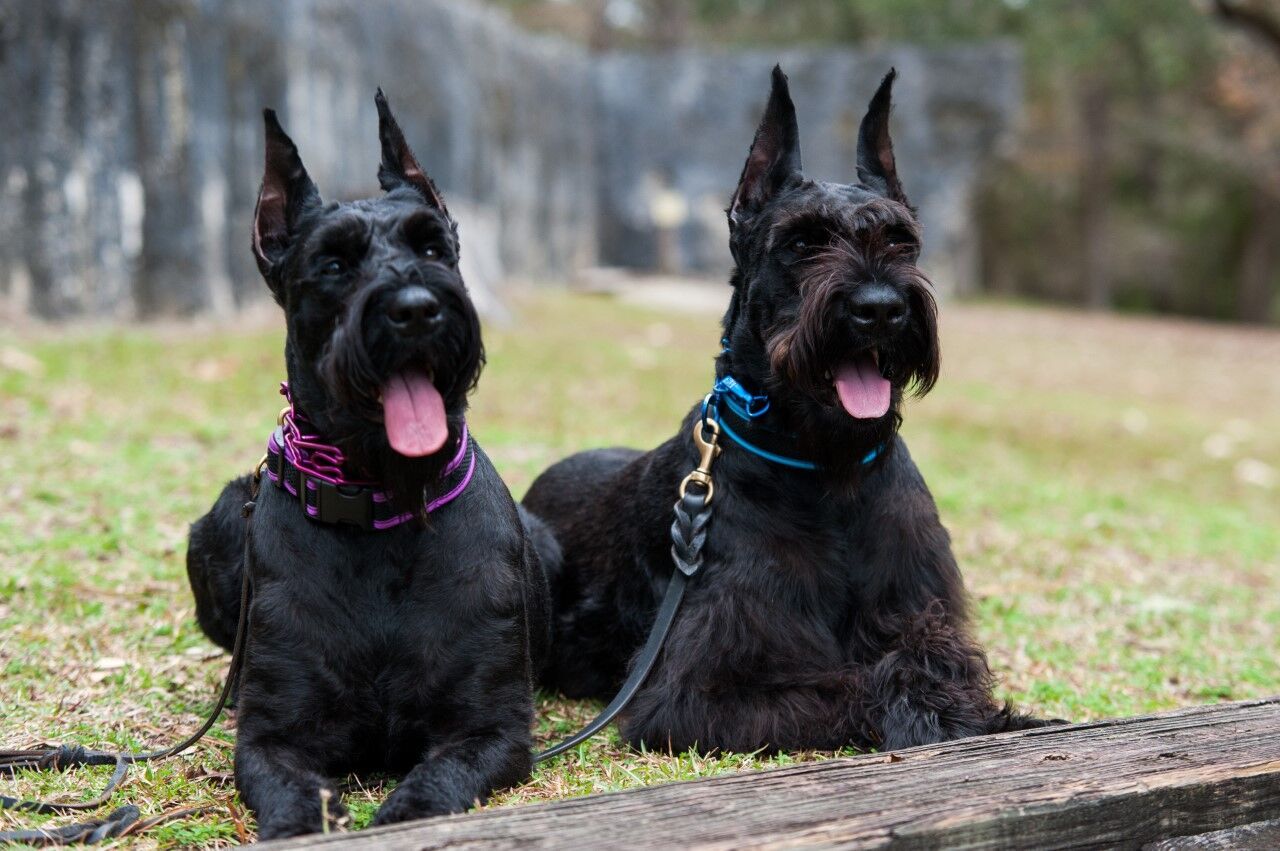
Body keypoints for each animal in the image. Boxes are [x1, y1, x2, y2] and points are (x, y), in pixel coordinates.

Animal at [186, 91, 547, 834]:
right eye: (333, 265)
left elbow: (436, 782)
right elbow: (290, 793)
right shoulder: (274, 738)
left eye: (432, 246)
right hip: (215, 523)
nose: (417, 309)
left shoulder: (491, 729)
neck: (380, 500)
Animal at [522, 69, 1049, 752]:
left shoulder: (917, 603)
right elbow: (854, 682)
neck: (827, 470)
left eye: (901, 240)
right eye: (802, 242)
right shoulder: (702, 691)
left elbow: (931, 653)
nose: (880, 308)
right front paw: (937, 713)